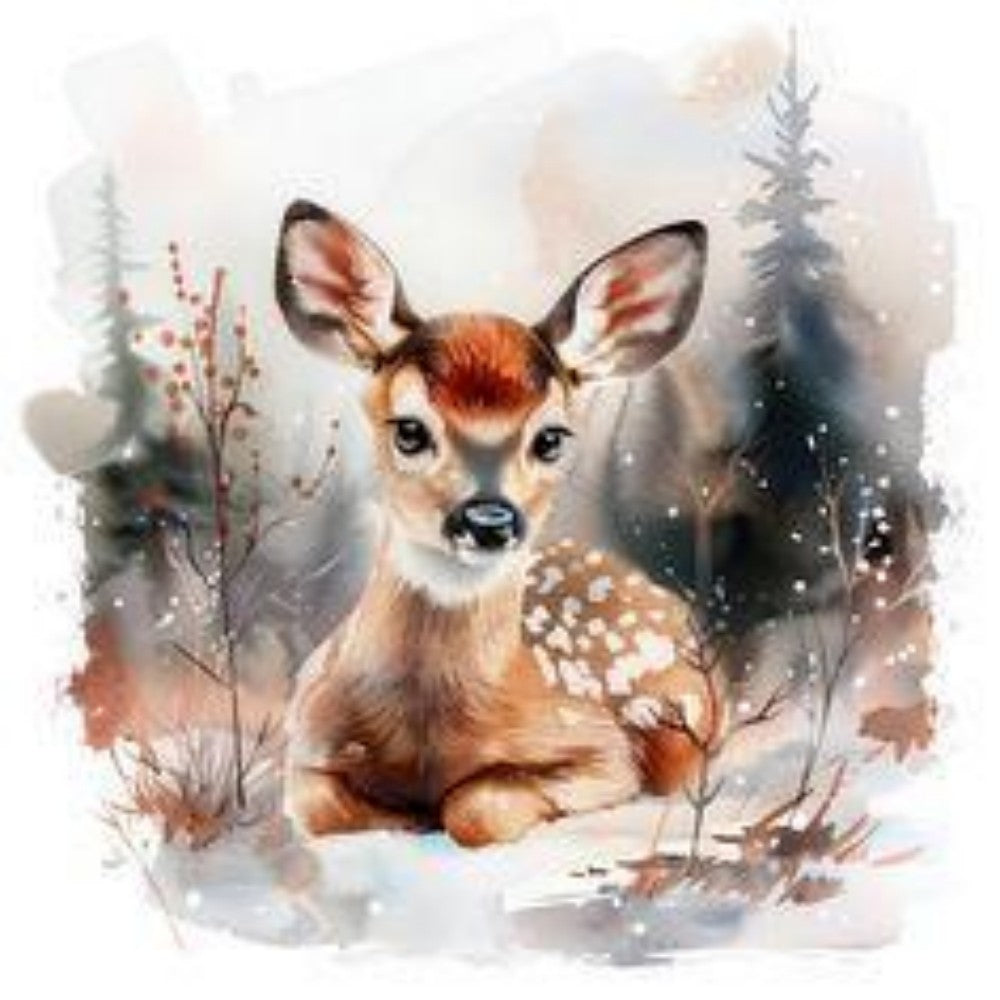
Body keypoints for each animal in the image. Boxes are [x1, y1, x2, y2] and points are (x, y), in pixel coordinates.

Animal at [274, 199, 723, 847]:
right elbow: (318, 806)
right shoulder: (304, 737)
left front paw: (431, 811)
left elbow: (478, 807)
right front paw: (400, 812)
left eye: (551, 438)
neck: (428, 732)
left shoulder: (604, 750)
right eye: (409, 430)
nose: (489, 519)